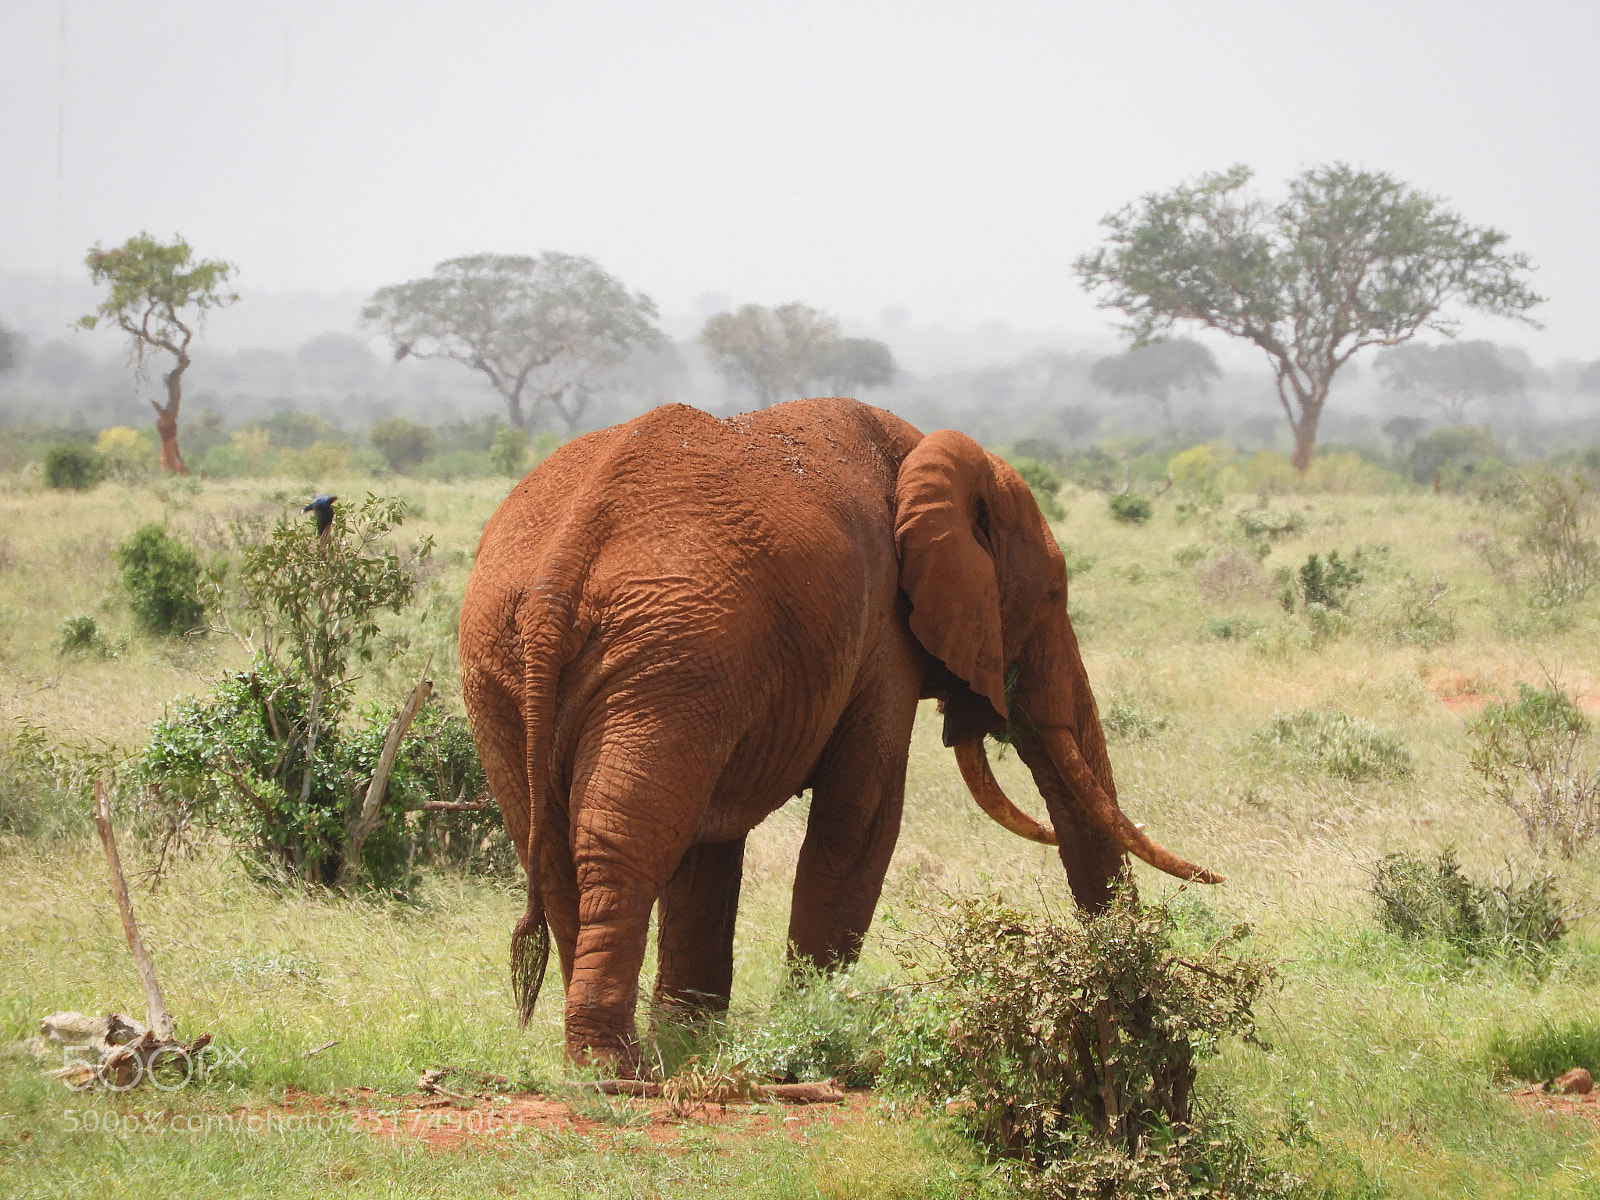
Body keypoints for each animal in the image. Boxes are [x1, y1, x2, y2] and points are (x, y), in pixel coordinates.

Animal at [459, 397, 1219, 1071]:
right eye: (1056, 596)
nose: (1128, 1013)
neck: (920, 455)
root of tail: (559, 573)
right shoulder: (878, 637)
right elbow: (862, 821)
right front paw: (815, 1027)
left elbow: (713, 849)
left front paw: (694, 1045)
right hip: (664, 655)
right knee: (622, 840)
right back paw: (612, 1069)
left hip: (520, 664)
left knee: (554, 848)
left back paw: (608, 1058)